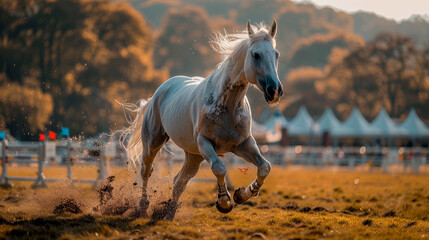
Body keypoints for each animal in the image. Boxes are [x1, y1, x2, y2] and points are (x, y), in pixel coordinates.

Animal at [122, 20, 280, 219]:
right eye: (256, 54)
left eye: (276, 54)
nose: (275, 90)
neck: (227, 105)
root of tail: (160, 91)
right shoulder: (205, 143)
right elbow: (219, 168)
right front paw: (224, 202)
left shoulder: (244, 144)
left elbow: (265, 167)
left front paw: (242, 194)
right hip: (153, 143)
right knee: (146, 171)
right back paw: (143, 206)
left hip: (193, 156)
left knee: (180, 181)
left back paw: (169, 212)